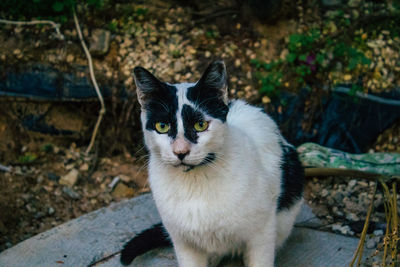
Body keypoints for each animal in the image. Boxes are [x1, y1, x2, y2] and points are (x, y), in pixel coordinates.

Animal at [121, 61, 304, 267]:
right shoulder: (184, 243)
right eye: (162, 126)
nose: (180, 151)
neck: (194, 185)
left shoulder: (262, 235)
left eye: (200, 125)